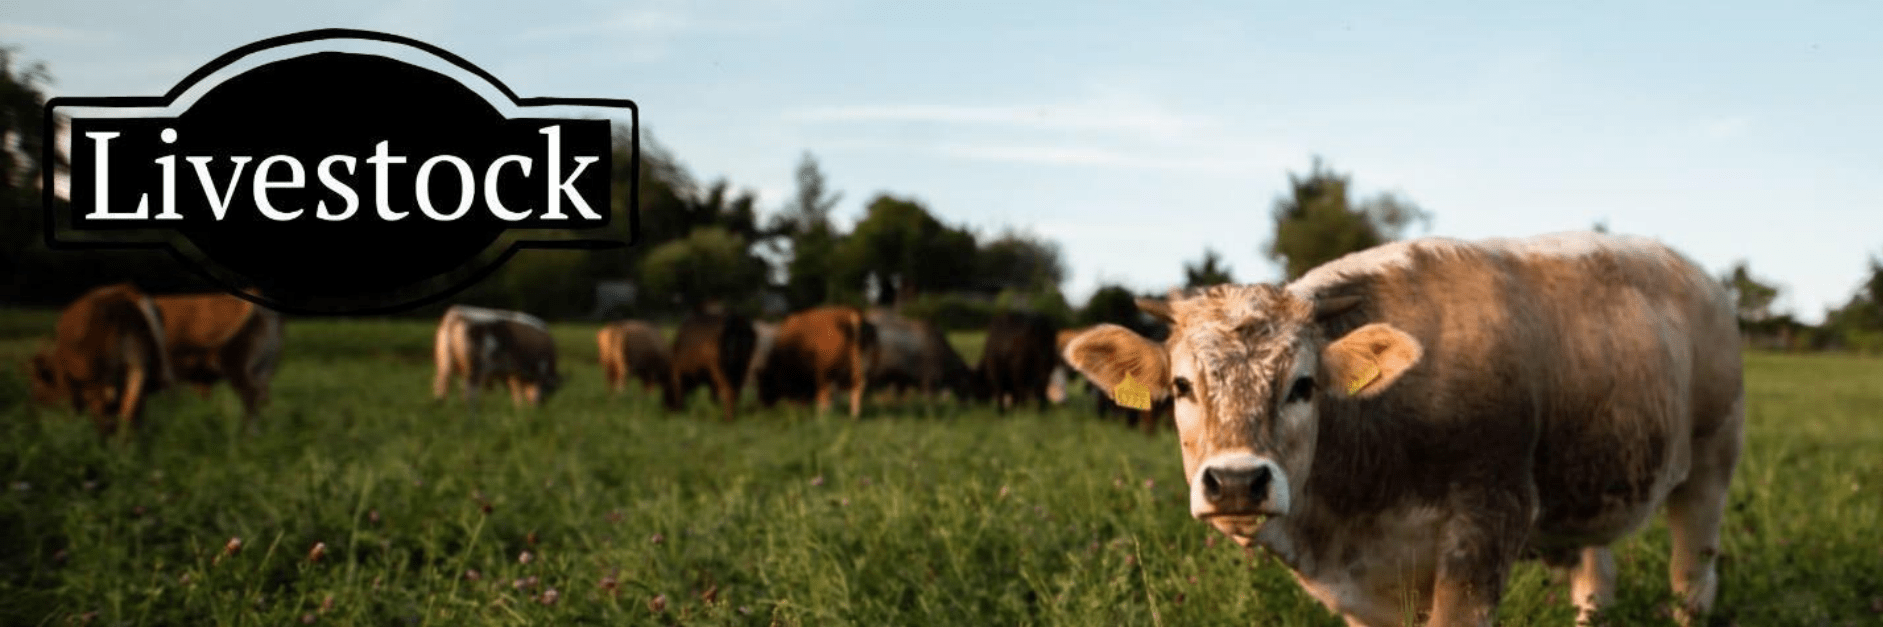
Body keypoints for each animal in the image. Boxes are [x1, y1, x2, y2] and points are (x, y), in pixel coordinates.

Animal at [26, 283, 173, 435]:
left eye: (36, 385)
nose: (32, 411)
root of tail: (124, 291)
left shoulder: (72, 386)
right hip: (138, 373)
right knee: (128, 415)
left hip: (100, 384)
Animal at [432, 305, 562, 412]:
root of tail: (456, 312)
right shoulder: (540, 370)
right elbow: (532, 394)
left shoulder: (515, 374)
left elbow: (518, 395)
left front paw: (521, 412)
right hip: (475, 369)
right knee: (469, 395)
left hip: (443, 366)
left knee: (440, 391)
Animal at [1060, 232, 1744, 627]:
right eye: (1181, 387)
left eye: (1304, 385)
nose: (1234, 482)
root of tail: (1698, 276)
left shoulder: (1485, 528)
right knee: (1595, 585)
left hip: (1710, 471)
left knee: (1692, 584)